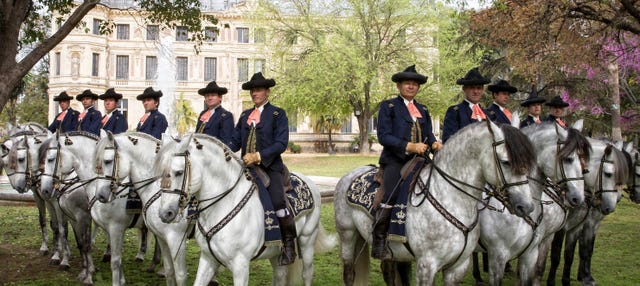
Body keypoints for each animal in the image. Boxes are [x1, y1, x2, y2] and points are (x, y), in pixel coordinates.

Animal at [156, 134, 336, 286]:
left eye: (179, 172)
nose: (165, 213)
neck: (224, 204)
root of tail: (308, 181)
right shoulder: (208, 259)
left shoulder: (240, 265)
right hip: (276, 253)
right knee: (280, 275)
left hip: (307, 241)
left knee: (307, 274)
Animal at [336, 119, 536, 284]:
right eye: (506, 162)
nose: (527, 206)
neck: (451, 199)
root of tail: (349, 176)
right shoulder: (427, 265)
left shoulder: (457, 267)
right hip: (348, 235)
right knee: (349, 273)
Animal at [470, 121, 592, 286]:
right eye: (568, 159)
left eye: (583, 158)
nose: (578, 198)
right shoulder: (497, 256)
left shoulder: (537, 246)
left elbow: (536, 270)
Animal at [544, 137, 628, 284]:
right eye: (608, 174)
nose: (611, 205)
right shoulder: (563, 228)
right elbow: (556, 255)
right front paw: (552, 281)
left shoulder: (580, 226)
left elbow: (575, 253)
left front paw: (581, 277)